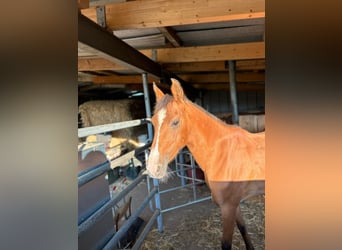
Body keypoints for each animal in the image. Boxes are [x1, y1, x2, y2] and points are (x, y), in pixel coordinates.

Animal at [146, 78, 266, 250]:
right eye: (154, 122)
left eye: (175, 122)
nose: (152, 167)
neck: (222, 153)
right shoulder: (234, 205)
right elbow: (243, 228)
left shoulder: (228, 207)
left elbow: (226, 243)